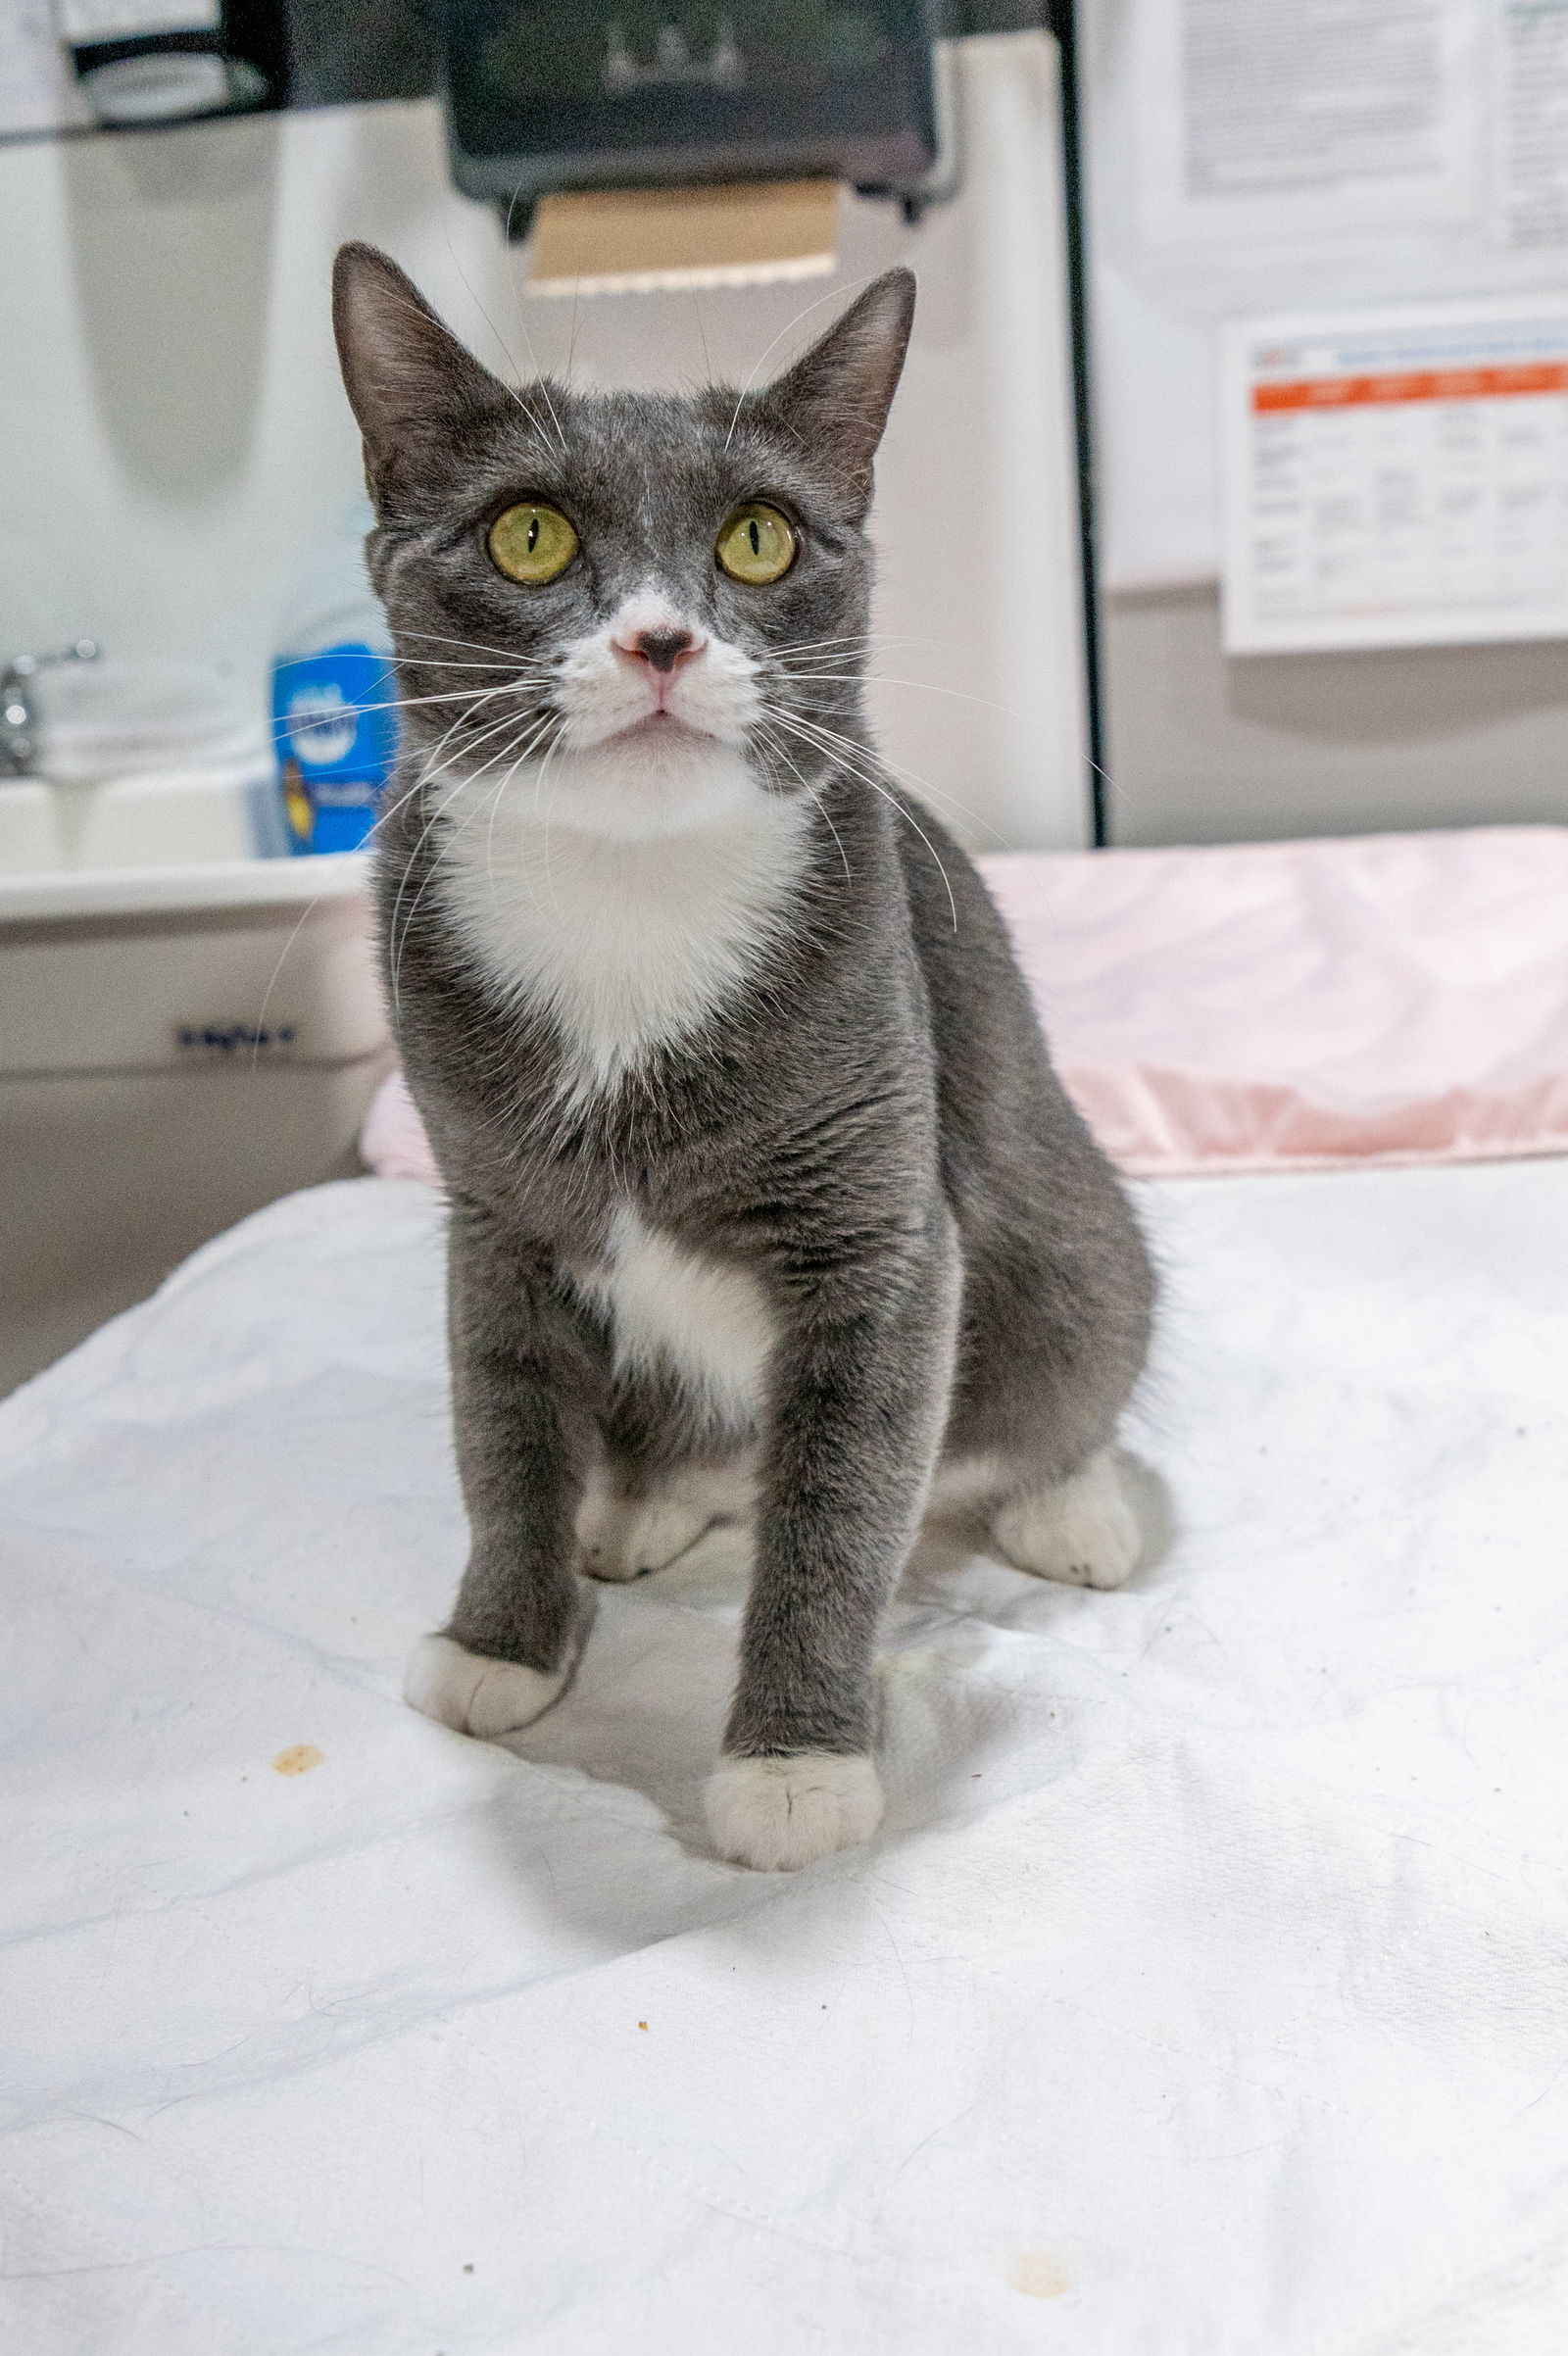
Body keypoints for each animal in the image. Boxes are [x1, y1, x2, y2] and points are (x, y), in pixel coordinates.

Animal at [336, 243, 1153, 1875]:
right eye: (529, 535)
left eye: (762, 540)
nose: (661, 640)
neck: (628, 903)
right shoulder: (491, 1214)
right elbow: (500, 1426)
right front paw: (504, 1641)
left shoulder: (877, 1223)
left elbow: (839, 1500)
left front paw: (794, 1767)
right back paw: (640, 1506)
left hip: (1069, 1227)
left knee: (1063, 1364)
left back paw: (1073, 1507)